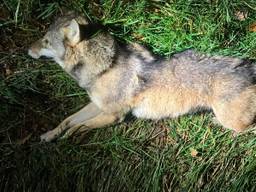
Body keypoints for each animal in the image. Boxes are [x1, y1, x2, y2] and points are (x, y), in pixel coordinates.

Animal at [28, 11, 256, 141]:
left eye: (46, 42)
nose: (27, 50)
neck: (105, 68)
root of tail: (250, 66)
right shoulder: (96, 105)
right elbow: (67, 120)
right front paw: (50, 135)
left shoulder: (114, 115)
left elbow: (79, 126)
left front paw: (68, 138)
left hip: (232, 122)